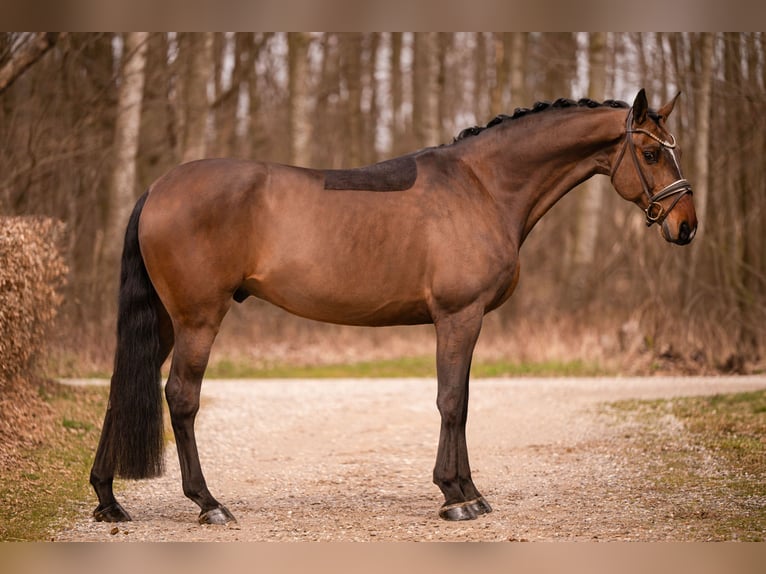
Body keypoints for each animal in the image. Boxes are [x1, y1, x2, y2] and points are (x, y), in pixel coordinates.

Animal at [90, 89, 696, 525]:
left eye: (672, 150)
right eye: (649, 153)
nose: (686, 226)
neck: (483, 186)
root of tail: (158, 189)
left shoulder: (464, 321)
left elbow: (463, 401)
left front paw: (469, 490)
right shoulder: (458, 316)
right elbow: (452, 402)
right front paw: (455, 497)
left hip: (166, 321)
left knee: (123, 386)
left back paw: (108, 500)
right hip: (198, 319)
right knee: (180, 397)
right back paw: (208, 503)